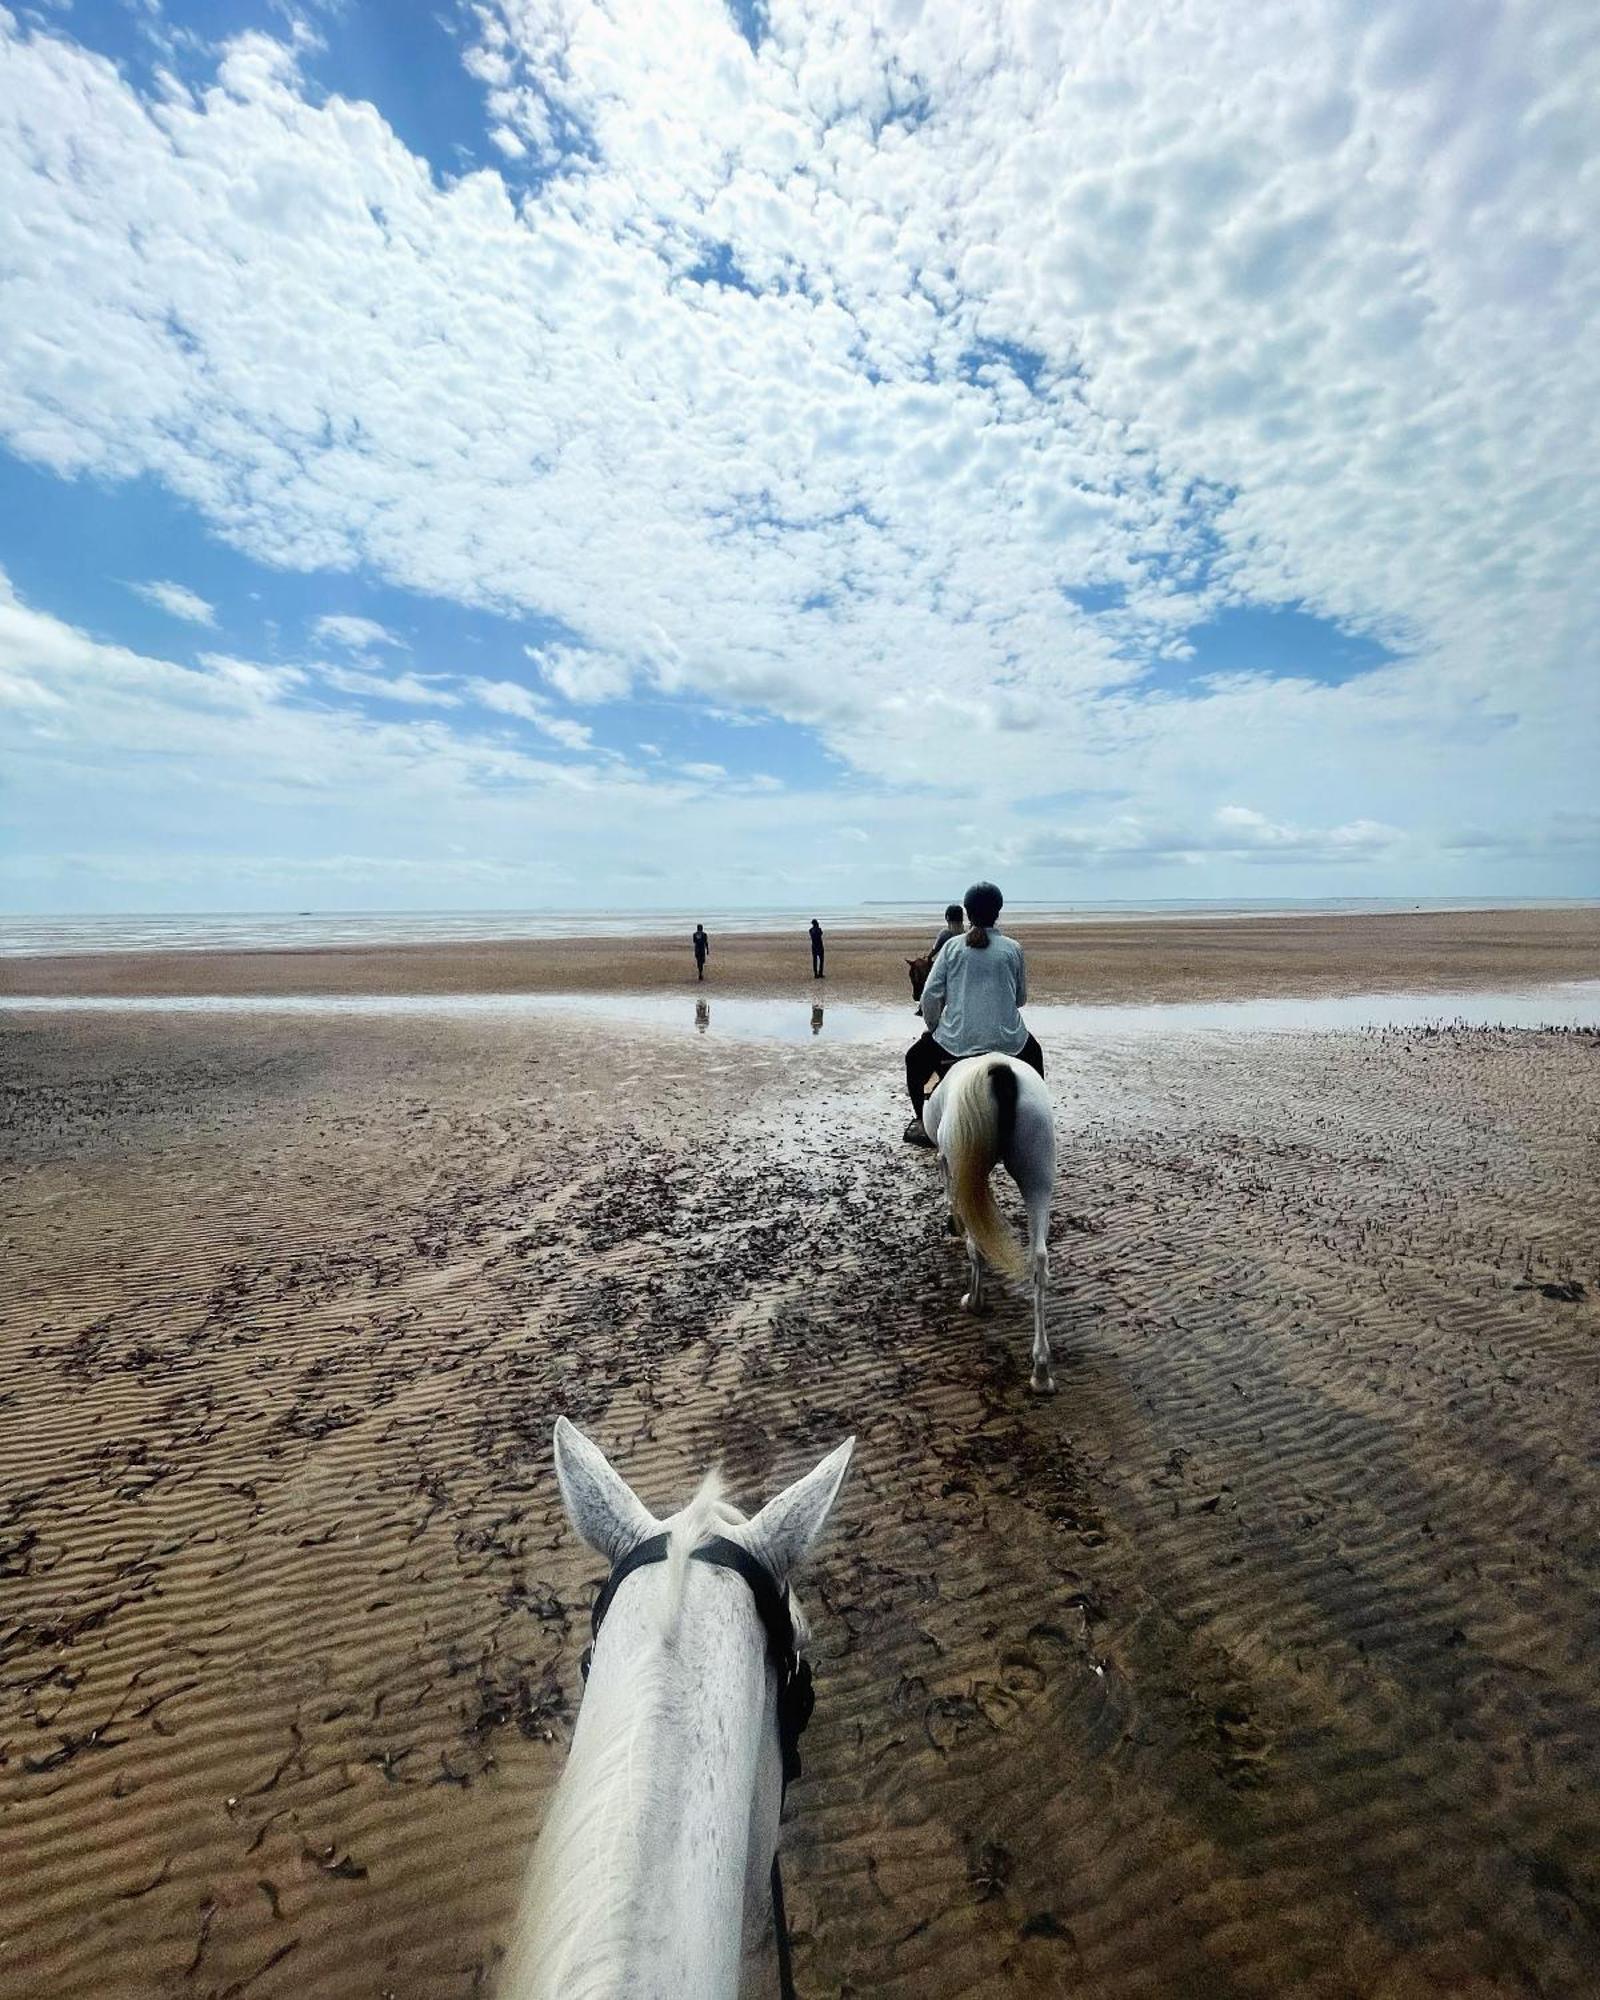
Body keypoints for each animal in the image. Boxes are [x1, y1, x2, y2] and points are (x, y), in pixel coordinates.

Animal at [920, 1064, 1056, 1392]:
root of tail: (999, 1072)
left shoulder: (948, 1160)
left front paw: (952, 1221)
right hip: (1038, 1172)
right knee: (1039, 1260)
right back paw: (1041, 1369)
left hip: (966, 1167)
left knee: (976, 1244)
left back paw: (975, 1301)